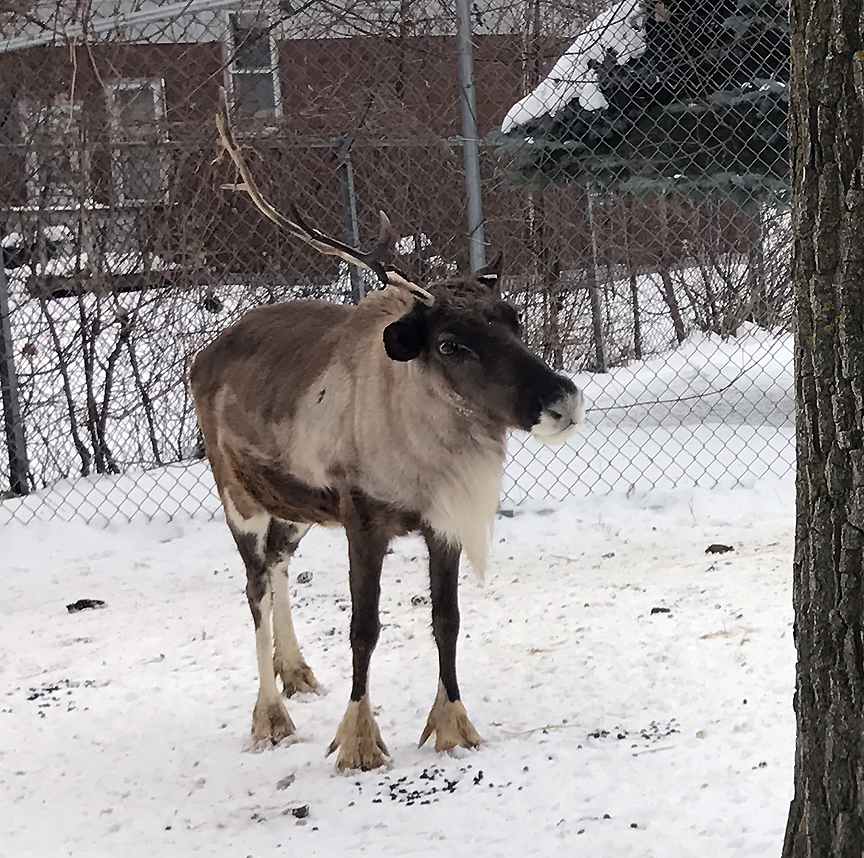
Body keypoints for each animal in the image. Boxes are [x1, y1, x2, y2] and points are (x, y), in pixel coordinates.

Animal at [187, 95, 585, 771]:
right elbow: (364, 628)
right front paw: (358, 739)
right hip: (239, 497)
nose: (562, 399)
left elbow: (448, 619)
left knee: (280, 566)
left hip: (295, 508)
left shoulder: (442, 523)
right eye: (450, 344)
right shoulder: (364, 521)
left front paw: (453, 725)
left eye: (512, 318)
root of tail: (202, 358)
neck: (426, 451)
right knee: (255, 586)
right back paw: (271, 714)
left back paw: (296, 672)